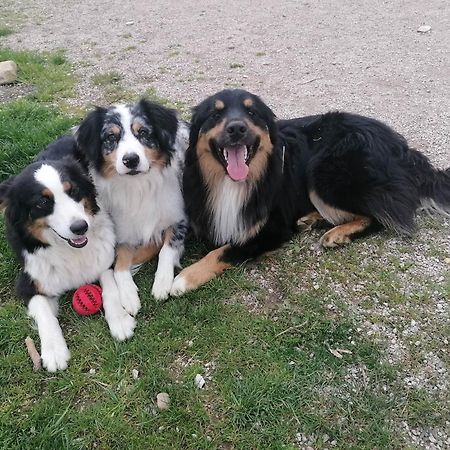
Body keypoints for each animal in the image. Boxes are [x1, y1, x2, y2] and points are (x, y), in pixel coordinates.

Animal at [0, 138, 135, 372]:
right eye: (42, 202)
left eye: (74, 191)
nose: (80, 227)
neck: (70, 250)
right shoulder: (28, 283)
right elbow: (45, 314)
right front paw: (54, 351)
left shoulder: (106, 257)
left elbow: (110, 288)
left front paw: (119, 320)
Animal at [76, 100, 189, 314]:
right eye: (111, 136)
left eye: (143, 132)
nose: (131, 160)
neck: (139, 187)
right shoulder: (122, 234)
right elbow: (119, 265)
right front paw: (128, 296)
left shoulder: (179, 219)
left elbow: (166, 249)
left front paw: (162, 283)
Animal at [170, 88, 450, 294]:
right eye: (215, 115)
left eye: (251, 112)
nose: (237, 128)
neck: (231, 181)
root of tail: (404, 150)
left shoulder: (272, 230)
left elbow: (224, 250)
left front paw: (184, 278)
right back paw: (311, 219)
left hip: (323, 172)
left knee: (380, 218)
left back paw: (337, 233)